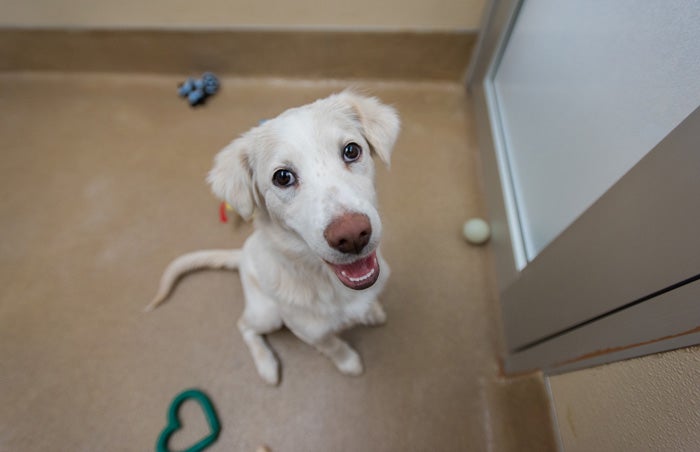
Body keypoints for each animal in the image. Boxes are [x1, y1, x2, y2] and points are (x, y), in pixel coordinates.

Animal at [148, 92, 400, 384]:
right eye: (282, 177)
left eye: (351, 151)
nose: (352, 235)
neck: (327, 282)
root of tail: (242, 254)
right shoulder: (311, 333)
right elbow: (333, 346)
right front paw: (348, 362)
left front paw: (371, 311)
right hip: (266, 313)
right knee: (244, 326)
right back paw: (266, 364)